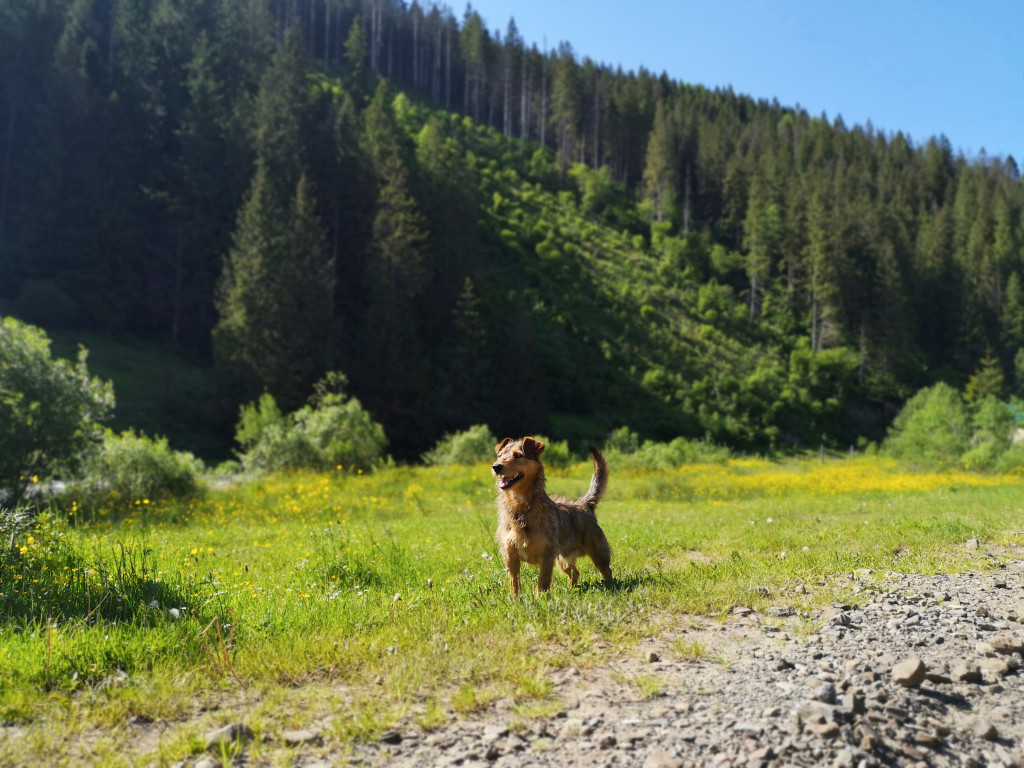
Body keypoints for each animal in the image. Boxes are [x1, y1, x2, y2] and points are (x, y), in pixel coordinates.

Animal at [491, 436, 610, 598]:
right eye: (500, 455)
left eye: (518, 455)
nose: (496, 466)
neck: (520, 507)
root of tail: (584, 504)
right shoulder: (510, 554)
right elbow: (514, 582)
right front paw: (515, 599)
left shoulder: (547, 555)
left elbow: (543, 581)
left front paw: (541, 599)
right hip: (563, 559)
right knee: (575, 572)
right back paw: (571, 591)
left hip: (598, 552)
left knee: (607, 571)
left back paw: (612, 585)